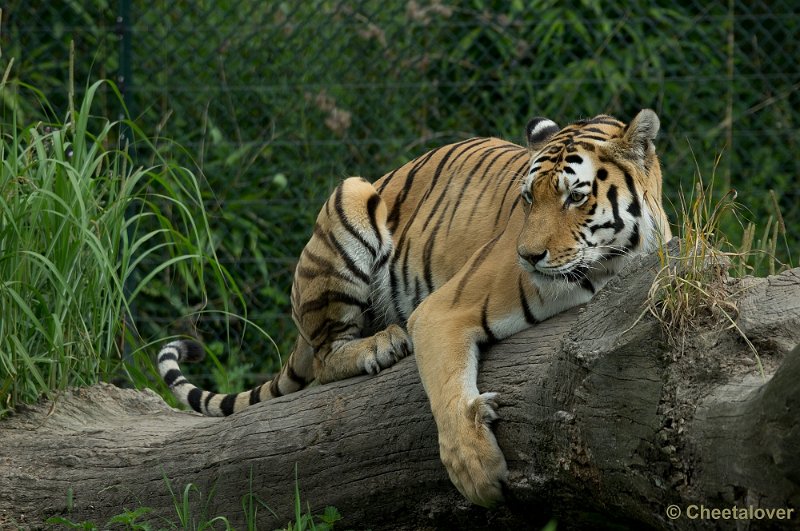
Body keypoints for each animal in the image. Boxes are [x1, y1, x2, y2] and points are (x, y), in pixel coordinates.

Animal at [156, 110, 668, 510]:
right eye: (528, 198)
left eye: (575, 197)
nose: (527, 257)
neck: (612, 263)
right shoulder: (441, 311)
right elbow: (448, 394)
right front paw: (477, 475)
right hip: (349, 201)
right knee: (324, 359)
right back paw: (380, 345)